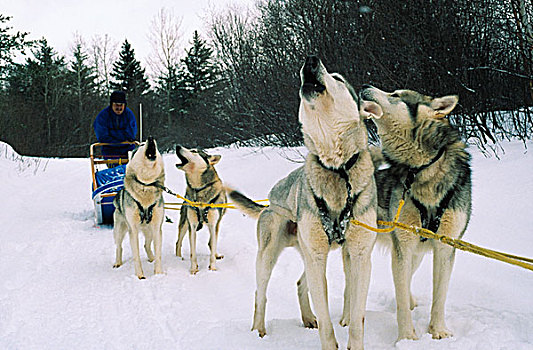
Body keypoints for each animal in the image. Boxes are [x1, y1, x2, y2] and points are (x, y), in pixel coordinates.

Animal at [111, 137, 163, 278]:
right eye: (141, 145)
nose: (150, 138)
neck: (146, 184)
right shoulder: (132, 230)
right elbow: (136, 256)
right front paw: (140, 276)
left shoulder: (157, 228)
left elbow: (158, 253)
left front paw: (158, 274)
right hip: (120, 230)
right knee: (119, 246)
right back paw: (118, 262)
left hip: (149, 231)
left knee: (146, 245)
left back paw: (151, 258)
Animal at [174, 145, 225, 274]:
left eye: (194, 151)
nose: (177, 146)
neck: (198, 190)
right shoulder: (192, 226)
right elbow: (193, 253)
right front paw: (193, 269)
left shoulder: (213, 224)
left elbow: (212, 246)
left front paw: (212, 267)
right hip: (184, 224)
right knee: (178, 242)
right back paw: (178, 258)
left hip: (216, 224)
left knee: (212, 243)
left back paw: (216, 254)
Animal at [227, 55, 376, 350]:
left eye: (338, 78)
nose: (310, 59)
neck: (336, 168)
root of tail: (270, 200)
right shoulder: (317, 257)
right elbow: (327, 326)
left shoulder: (359, 255)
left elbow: (357, 318)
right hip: (270, 256)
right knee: (260, 294)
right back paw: (259, 330)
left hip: (312, 253)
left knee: (299, 283)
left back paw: (307, 318)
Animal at [358, 86, 470, 340]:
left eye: (396, 95)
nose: (365, 87)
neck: (422, 170)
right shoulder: (404, 245)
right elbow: (399, 296)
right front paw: (407, 337)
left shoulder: (444, 247)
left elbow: (440, 296)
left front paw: (438, 330)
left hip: (416, 252)